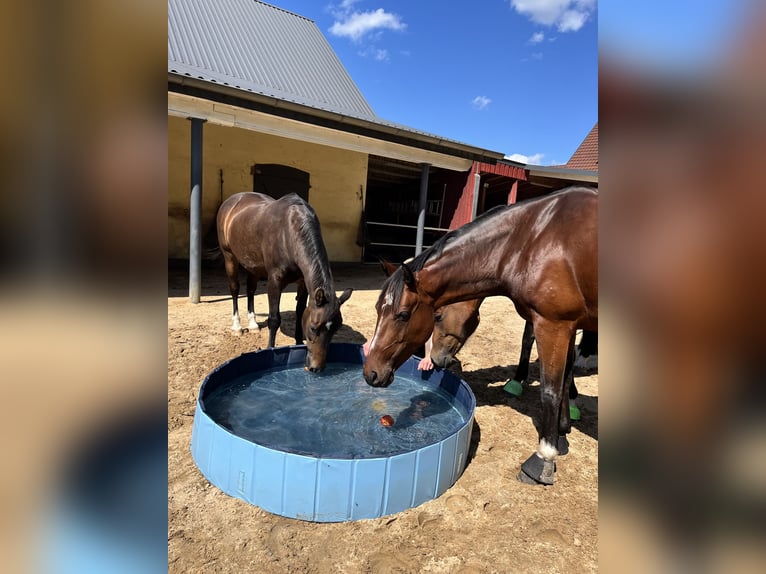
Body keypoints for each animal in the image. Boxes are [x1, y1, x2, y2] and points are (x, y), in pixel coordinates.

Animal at [216, 192, 352, 371]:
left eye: (336, 328)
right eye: (313, 327)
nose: (316, 368)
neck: (289, 232)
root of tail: (231, 201)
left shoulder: (303, 282)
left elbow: (300, 311)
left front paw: (298, 342)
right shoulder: (275, 281)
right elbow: (274, 319)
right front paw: (270, 348)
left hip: (253, 266)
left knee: (251, 290)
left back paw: (253, 324)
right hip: (229, 257)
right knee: (234, 289)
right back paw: (237, 327)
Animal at [363, 186, 597, 485]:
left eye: (403, 315)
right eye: (377, 309)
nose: (371, 373)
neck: (532, 238)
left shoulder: (553, 325)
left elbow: (551, 390)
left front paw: (543, 457)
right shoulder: (566, 324)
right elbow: (566, 378)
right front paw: (563, 434)